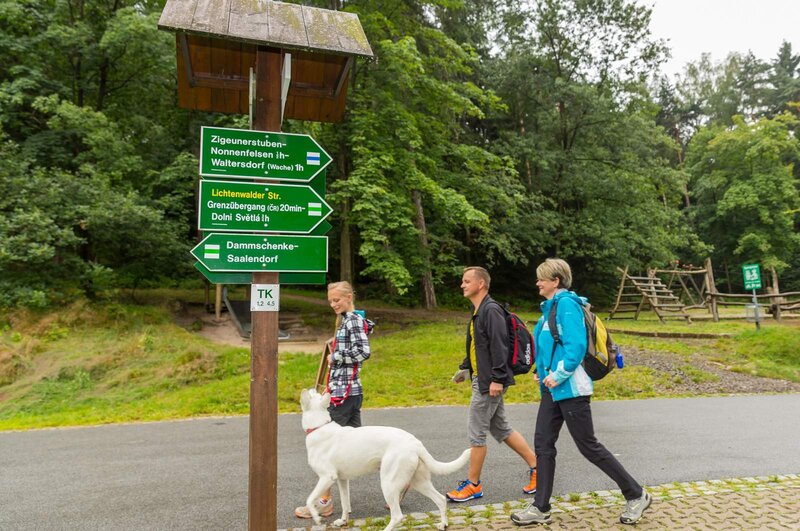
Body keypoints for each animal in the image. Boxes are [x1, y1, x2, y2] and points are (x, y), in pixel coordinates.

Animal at [304, 388, 472, 528]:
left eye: (313, 394)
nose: (312, 388)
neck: (319, 427)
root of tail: (415, 443)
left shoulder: (327, 477)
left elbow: (309, 499)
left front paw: (316, 517)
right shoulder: (342, 480)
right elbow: (345, 504)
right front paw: (343, 521)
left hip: (388, 484)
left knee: (397, 516)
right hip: (419, 482)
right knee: (440, 500)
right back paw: (443, 524)